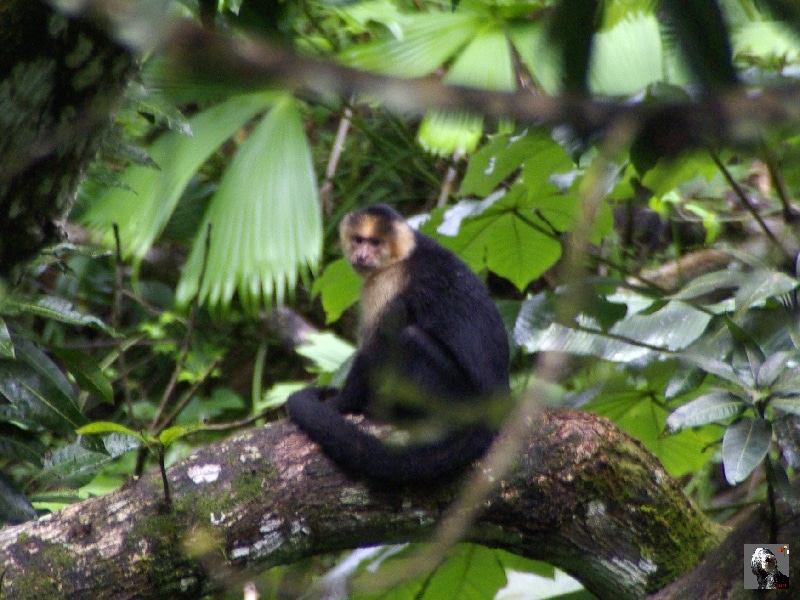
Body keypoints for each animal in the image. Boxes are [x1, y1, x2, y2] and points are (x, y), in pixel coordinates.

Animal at [286, 204, 510, 487]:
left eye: (375, 243)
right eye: (359, 240)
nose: (361, 254)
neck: (400, 256)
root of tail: (495, 404)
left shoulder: (387, 284)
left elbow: (376, 348)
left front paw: (341, 403)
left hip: (461, 398)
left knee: (410, 339)